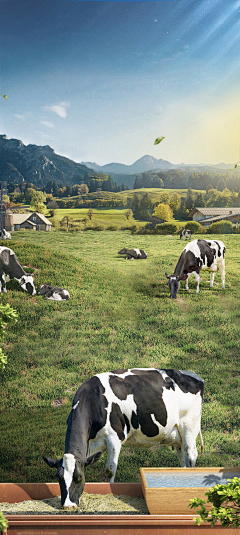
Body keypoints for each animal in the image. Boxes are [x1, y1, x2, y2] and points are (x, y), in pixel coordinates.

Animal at [43, 366, 204, 508]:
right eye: (58, 478)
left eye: (79, 477)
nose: (68, 506)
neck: (94, 399)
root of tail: (193, 375)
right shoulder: (89, 445)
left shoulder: (114, 437)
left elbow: (110, 469)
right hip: (178, 436)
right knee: (183, 458)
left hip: (189, 426)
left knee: (191, 455)